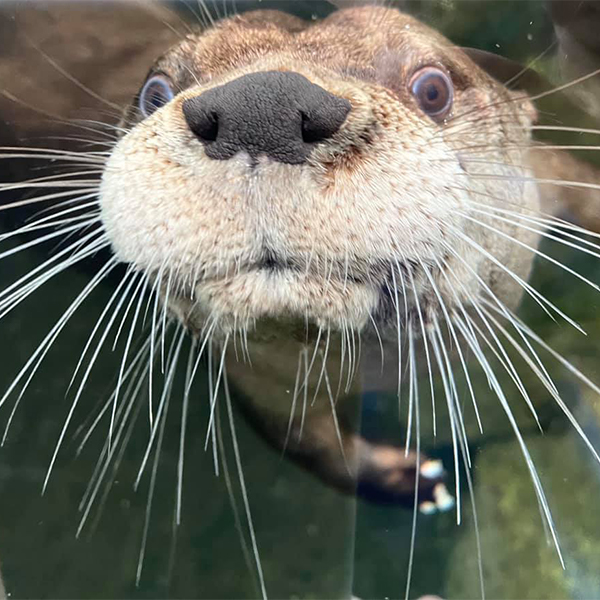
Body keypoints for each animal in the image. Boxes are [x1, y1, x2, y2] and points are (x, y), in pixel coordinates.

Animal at [1, 1, 600, 600]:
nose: (260, 105)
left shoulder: (548, 177)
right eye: (155, 90)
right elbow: (308, 447)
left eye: (433, 89)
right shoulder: (254, 374)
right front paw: (418, 483)